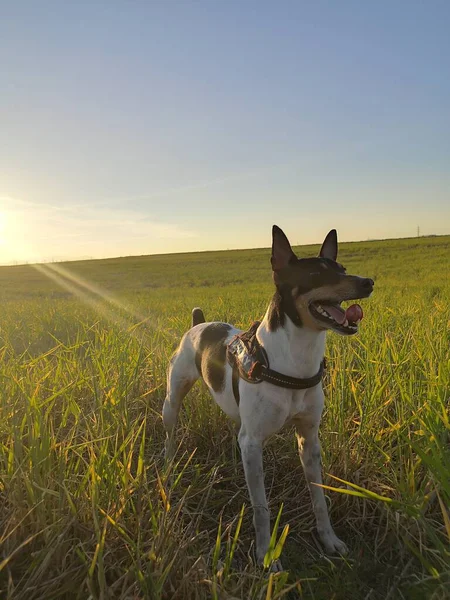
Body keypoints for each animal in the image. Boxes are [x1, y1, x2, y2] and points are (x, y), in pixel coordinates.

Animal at [163, 224, 374, 568]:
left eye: (342, 269)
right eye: (317, 274)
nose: (368, 282)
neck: (295, 360)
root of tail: (199, 323)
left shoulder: (309, 439)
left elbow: (318, 497)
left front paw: (328, 539)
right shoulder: (252, 442)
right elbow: (261, 507)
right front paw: (265, 553)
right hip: (172, 401)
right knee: (170, 435)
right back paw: (168, 469)